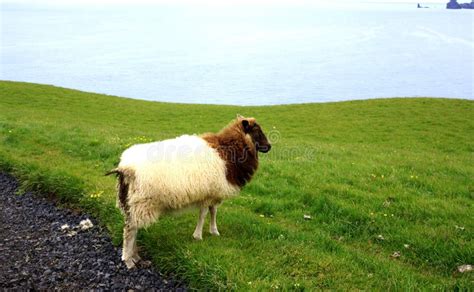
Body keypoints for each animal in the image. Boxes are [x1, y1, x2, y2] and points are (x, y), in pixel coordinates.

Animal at [106, 114, 270, 270]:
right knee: (130, 231)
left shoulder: (213, 192)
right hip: (141, 203)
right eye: (257, 130)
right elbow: (203, 214)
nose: (269, 146)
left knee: (132, 228)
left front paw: (214, 231)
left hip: (131, 203)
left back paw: (135, 256)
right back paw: (129, 260)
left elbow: (213, 212)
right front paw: (198, 236)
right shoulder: (207, 194)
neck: (228, 151)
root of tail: (125, 167)